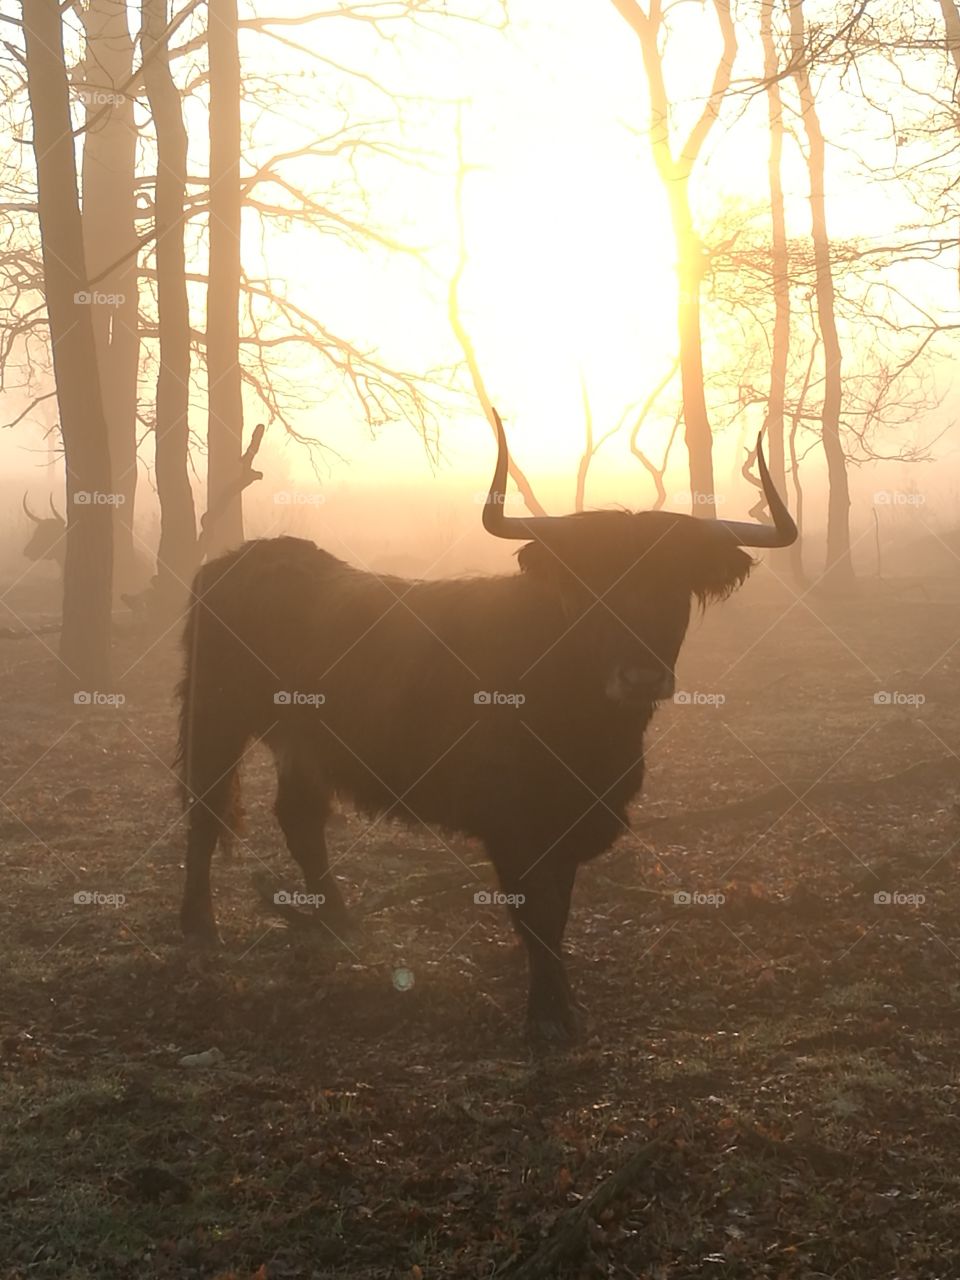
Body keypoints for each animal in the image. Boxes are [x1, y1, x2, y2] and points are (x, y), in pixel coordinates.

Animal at [176, 412, 796, 1044]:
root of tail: (241, 558)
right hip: (214, 717)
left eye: (676, 583)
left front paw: (564, 1004)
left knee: (300, 818)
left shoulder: (569, 824)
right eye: (593, 584)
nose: (641, 675)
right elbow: (536, 918)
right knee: (205, 809)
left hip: (303, 738)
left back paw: (339, 920)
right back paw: (201, 926)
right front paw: (547, 1014)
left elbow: (558, 912)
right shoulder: (511, 826)